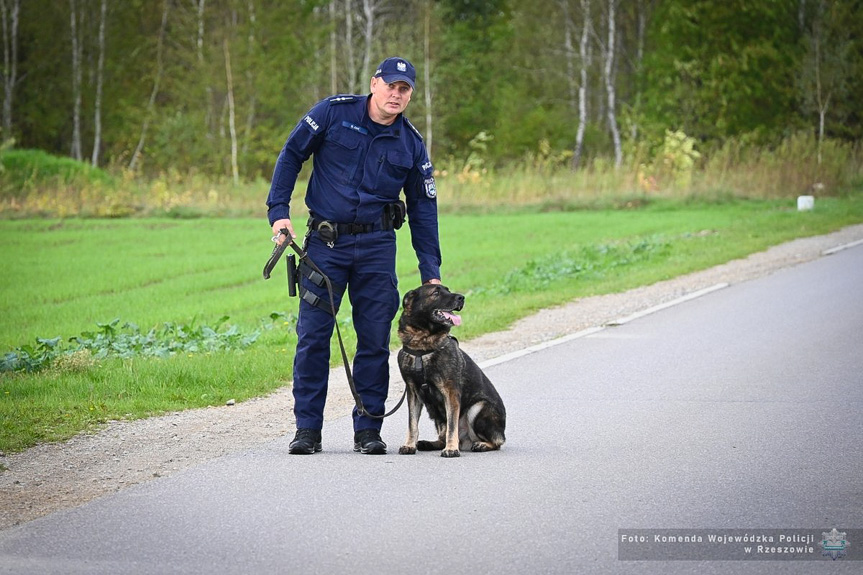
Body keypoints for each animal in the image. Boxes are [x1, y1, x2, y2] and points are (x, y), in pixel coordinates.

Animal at [396, 284, 506, 460]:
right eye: (436, 292)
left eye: (447, 290)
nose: (462, 298)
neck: (422, 345)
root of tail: (466, 441)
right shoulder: (413, 393)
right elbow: (412, 424)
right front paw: (409, 445)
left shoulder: (451, 392)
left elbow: (452, 425)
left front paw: (451, 449)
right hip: (437, 416)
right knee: (442, 435)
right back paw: (428, 443)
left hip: (477, 408)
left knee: (498, 442)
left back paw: (481, 444)